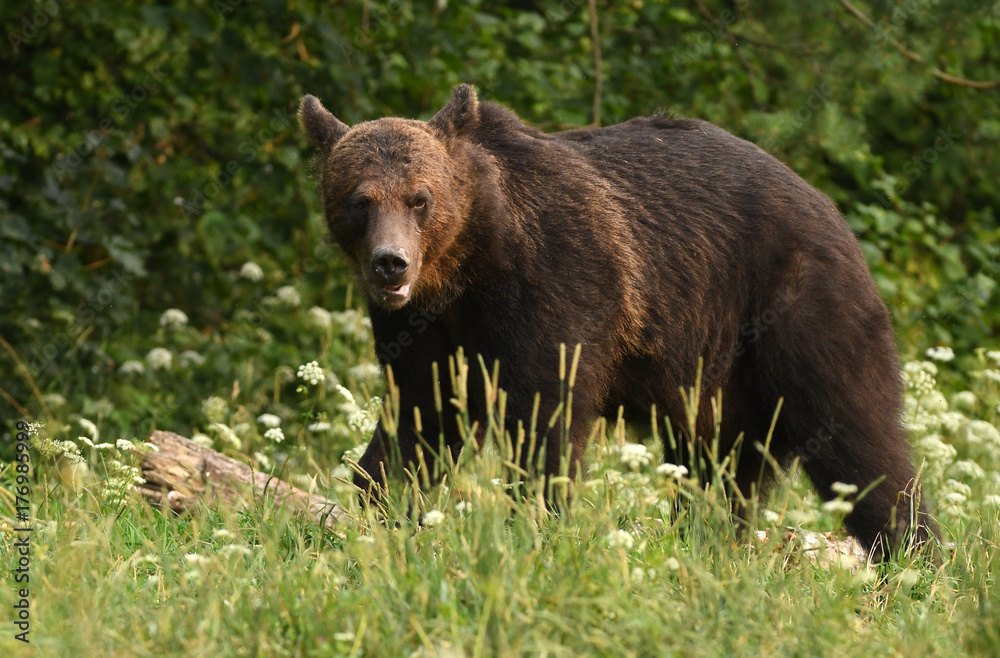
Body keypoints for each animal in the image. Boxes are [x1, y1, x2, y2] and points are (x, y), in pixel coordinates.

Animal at [296, 84, 928, 560]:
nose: (391, 262)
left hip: (797, 306)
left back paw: (913, 557)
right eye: (360, 200)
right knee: (720, 464)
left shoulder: (559, 282)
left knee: (857, 435)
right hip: (719, 370)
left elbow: (545, 412)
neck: (467, 265)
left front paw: (536, 520)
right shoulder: (425, 328)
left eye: (419, 198)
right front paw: (376, 508)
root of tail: (830, 208)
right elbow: (420, 417)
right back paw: (706, 543)